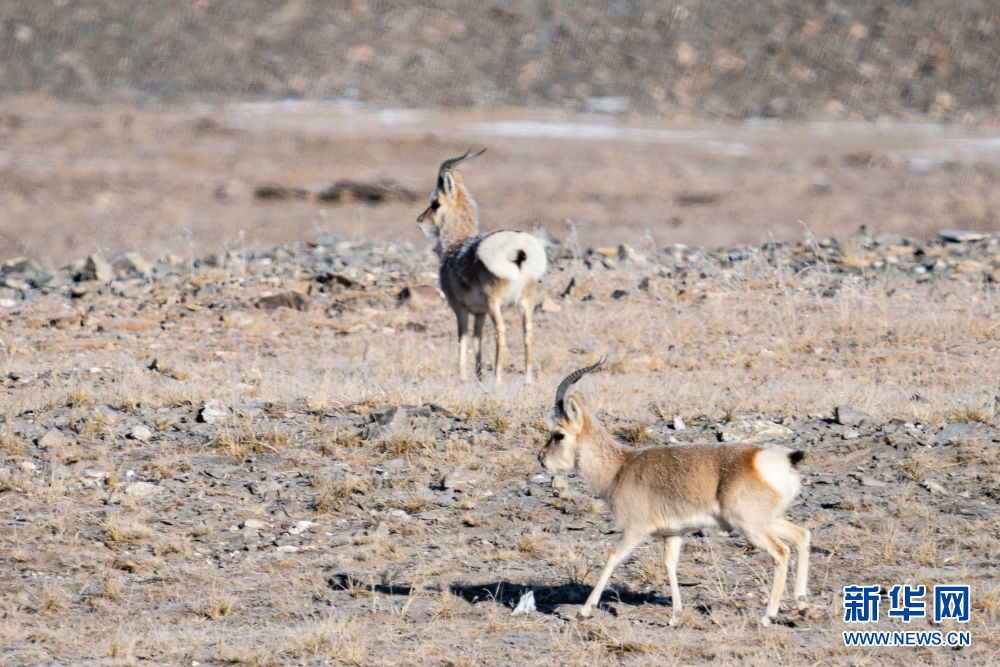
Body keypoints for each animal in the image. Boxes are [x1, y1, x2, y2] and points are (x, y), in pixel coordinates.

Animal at [416, 149, 547, 383]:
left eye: (435, 203)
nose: (420, 221)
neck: (455, 248)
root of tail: (519, 247)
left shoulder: (459, 308)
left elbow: (462, 337)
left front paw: (462, 377)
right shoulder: (480, 312)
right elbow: (477, 338)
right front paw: (478, 377)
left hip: (496, 303)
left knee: (501, 331)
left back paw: (497, 379)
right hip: (526, 300)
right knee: (528, 332)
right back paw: (528, 381)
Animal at [538, 360, 811, 626]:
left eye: (558, 435)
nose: (541, 459)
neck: (619, 468)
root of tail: (777, 460)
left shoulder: (635, 531)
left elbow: (612, 557)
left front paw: (584, 611)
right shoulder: (674, 534)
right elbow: (670, 564)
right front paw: (675, 615)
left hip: (751, 526)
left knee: (781, 552)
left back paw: (769, 615)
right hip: (768, 521)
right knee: (801, 536)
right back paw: (802, 606)